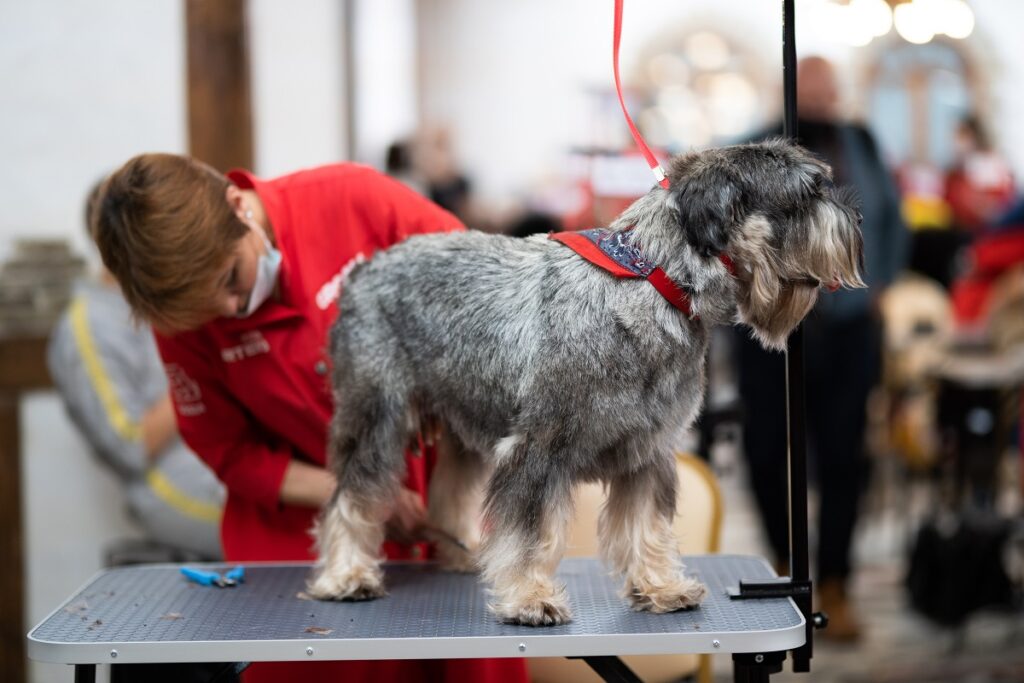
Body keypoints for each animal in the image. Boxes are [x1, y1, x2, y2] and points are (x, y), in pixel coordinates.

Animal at [305, 137, 864, 626]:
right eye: (806, 193)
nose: (857, 220)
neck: (653, 281)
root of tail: (364, 271)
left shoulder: (648, 451)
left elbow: (646, 525)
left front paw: (660, 586)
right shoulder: (536, 450)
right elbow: (528, 534)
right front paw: (529, 598)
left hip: (466, 419)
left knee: (451, 492)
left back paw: (463, 552)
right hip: (377, 418)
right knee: (352, 495)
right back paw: (347, 574)